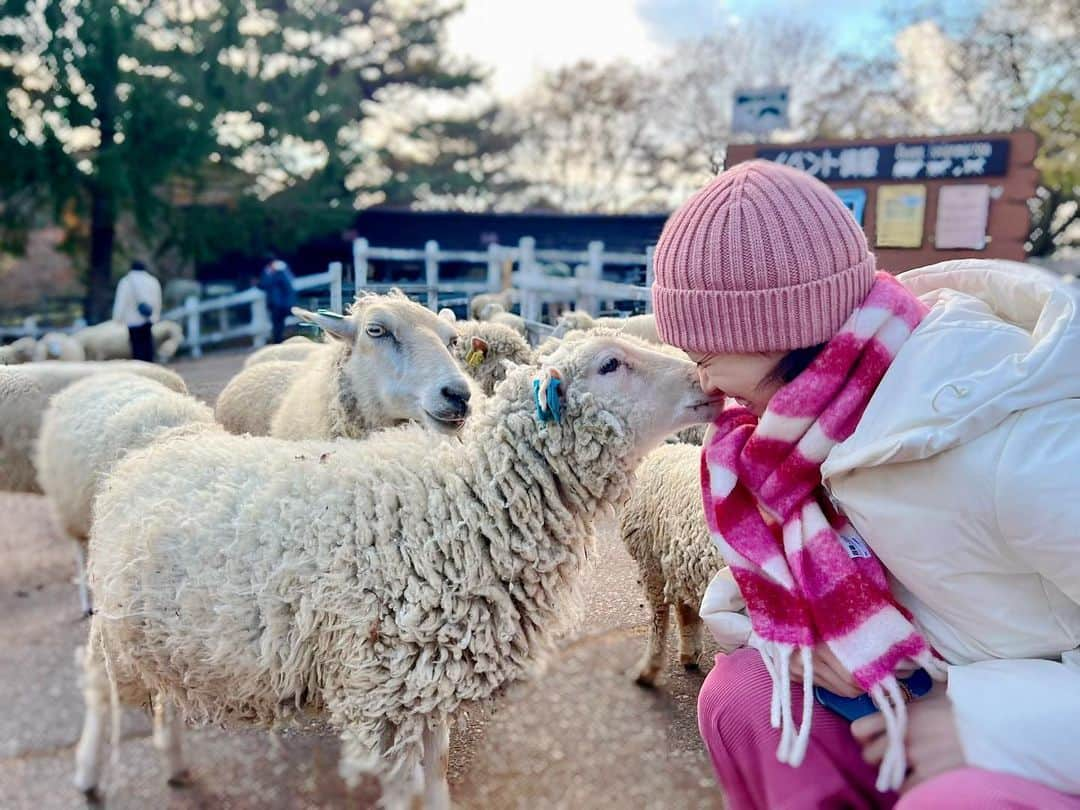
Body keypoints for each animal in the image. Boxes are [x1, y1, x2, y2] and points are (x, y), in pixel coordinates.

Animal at [617, 440, 725, 686]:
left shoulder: (651, 561)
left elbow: (659, 615)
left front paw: (648, 670)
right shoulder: (680, 560)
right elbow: (686, 612)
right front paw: (690, 654)